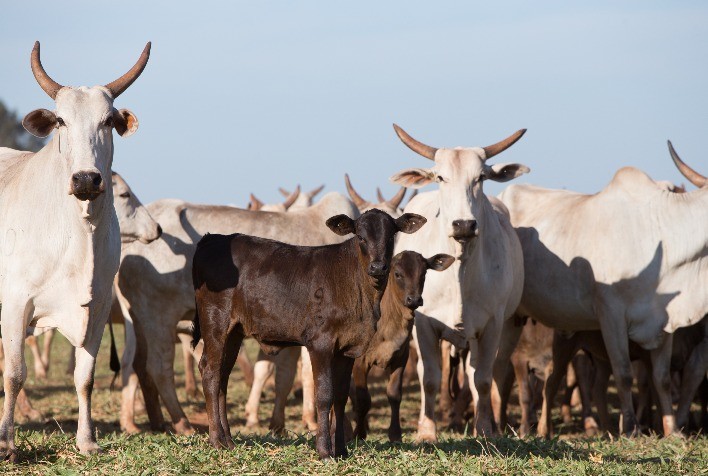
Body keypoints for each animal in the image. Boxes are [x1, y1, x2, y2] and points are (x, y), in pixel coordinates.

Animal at [0, 41, 149, 461]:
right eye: (61, 122)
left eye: (107, 121)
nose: (85, 179)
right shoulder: (15, 303)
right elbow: (14, 374)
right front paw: (7, 443)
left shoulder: (96, 307)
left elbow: (85, 378)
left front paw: (87, 440)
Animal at [116, 191, 360, 434]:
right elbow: (311, 375)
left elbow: (284, 376)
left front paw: (278, 423)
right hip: (159, 318)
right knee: (159, 368)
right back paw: (182, 422)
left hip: (138, 321)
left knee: (136, 365)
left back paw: (152, 420)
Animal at [191, 209, 426, 459]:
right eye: (361, 237)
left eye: (391, 236)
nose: (378, 267)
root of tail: (212, 238)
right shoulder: (320, 342)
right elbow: (323, 395)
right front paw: (324, 450)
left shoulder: (347, 349)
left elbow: (341, 397)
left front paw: (341, 450)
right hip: (215, 321)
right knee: (210, 372)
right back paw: (216, 440)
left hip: (234, 332)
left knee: (223, 376)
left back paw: (228, 440)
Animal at [389, 124, 530, 441]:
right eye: (441, 177)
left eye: (481, 177)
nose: (464, 225)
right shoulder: (423, 325)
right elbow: (430, 377)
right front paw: (426, 432)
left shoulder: (492, 325)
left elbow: (483, 379)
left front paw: (485, 429)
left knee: (480, 374)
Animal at [497, 142, 708, 437]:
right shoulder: (612, 315)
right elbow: (624, 373)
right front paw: (629, 428)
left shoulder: (663, 323)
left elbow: (662, 378)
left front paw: (672, 430)